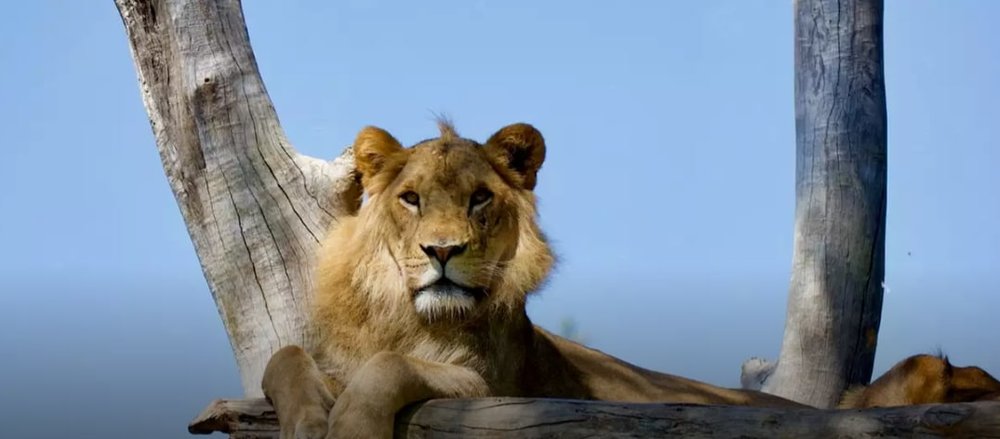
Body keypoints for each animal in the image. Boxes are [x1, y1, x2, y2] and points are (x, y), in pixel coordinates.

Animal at [261, 120, 804, 439]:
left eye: (479, 198)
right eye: (411, 199)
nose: (442, 250)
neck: (406, 317)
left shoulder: (487, 388)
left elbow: (391, 365)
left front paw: (351, 428)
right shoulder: (336, 363)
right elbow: (283, 357)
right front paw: (307, 424)